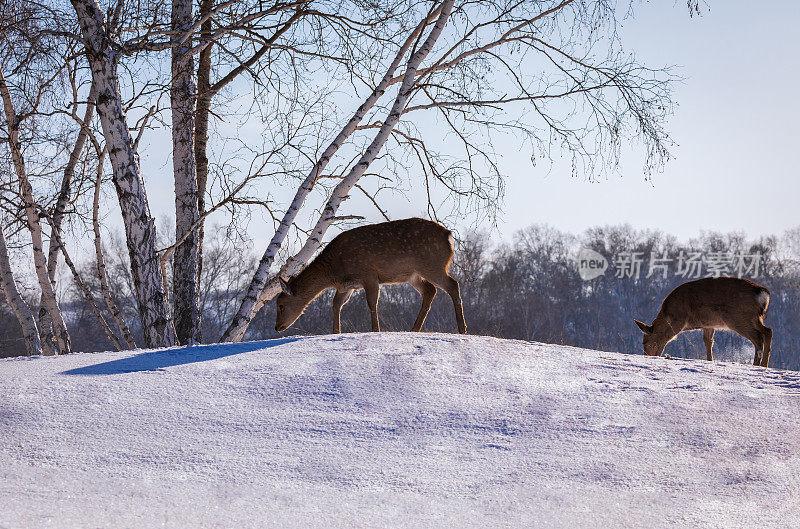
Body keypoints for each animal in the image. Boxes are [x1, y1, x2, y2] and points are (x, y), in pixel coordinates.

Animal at [274, 216, 466, 334]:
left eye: (281, 305)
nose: (276, 327)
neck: (334, 270)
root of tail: (449, 236)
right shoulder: (346, 286)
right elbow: (336, 304)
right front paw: (335, 332)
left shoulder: (369, 274)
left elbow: (372, 302)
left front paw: (375, 330)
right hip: (413, 274)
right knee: (430, 290)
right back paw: (414, 329)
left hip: (432, 264)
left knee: (453, 284)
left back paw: (462, 328)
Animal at [636, 276, 772, 368]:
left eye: (645, 342)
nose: (646, 355)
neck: (667, 314)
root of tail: (762, 293)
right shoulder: (708, 324)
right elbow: (708, 342)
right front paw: (709, 360)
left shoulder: (680, 319)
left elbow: (666, 338)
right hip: (754, 317)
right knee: (767, 331)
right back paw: (763, 364)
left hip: (738, 317)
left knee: (758, 337)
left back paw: (758, 364)